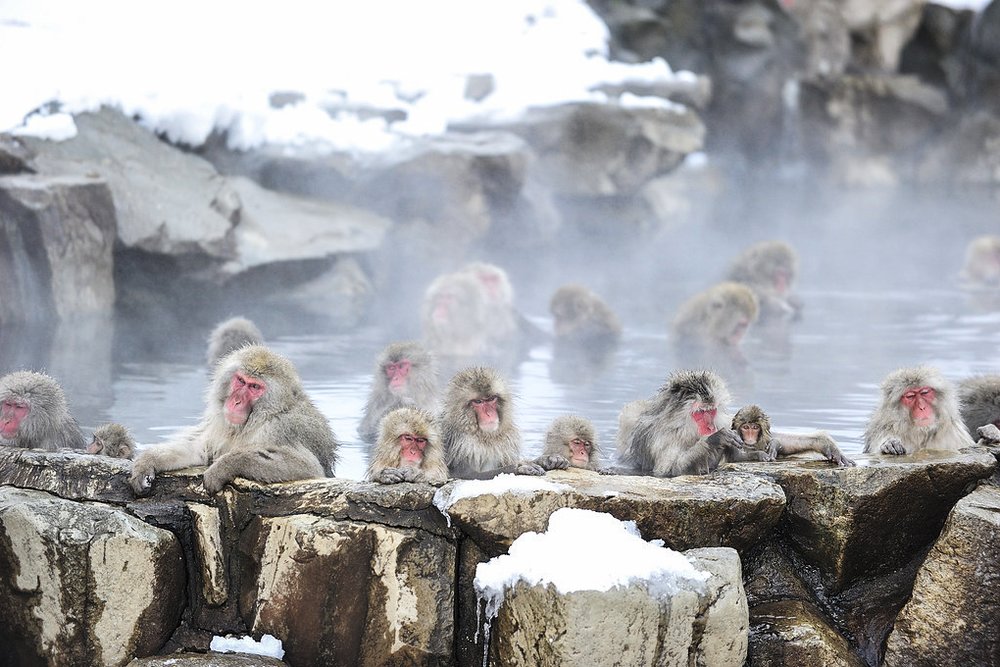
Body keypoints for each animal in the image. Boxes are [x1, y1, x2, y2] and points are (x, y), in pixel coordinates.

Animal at [130, 345, 338, 495]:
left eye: (255, 387)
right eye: (241, 381)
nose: (236, 401)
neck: (255, 420)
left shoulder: (281, 428)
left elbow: (306, 467)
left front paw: (223, 467)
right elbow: (198, 449)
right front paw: (147, 461)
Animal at [615, 369, 772, 477]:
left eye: (711, 411)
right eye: (700, 412)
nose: (710, 427)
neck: (683, 428)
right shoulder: (663, 439)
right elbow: (670, 470)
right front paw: (715, 438)